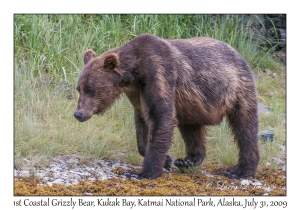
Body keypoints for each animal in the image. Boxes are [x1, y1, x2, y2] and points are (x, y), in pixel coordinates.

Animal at [74, 33, 258, 180]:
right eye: (79, 89)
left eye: (90, 89)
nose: (78, 113)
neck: (134, 74)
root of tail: (237, 53)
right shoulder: (137, 94)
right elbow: (142, 123)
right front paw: (167, 160)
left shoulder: (159, 73)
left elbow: (161, 117)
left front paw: (143, 173)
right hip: (191, 105)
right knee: (191, 128)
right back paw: (187, 160)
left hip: (237, 89)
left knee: (245, 127)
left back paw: (239, 170)